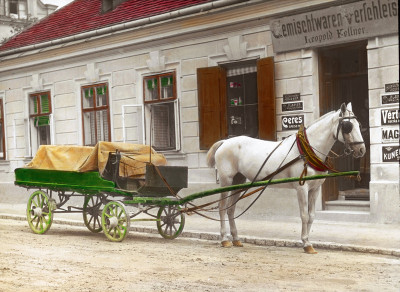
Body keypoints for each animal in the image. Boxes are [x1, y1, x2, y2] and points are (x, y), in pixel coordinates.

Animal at [208, 103, 364, 253]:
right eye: (348, 126)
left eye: (358, 124)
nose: (362, 150)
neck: (307, 151)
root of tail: (224, 142)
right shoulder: (302, 188)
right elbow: (304, 215)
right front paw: (306, 243)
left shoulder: (315, 189)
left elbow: (312, 216)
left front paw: (308, 241)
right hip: (226, 180)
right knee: (222, 207)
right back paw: (224, 239)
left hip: (238, 181)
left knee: (230, 209)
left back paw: (235, 238)